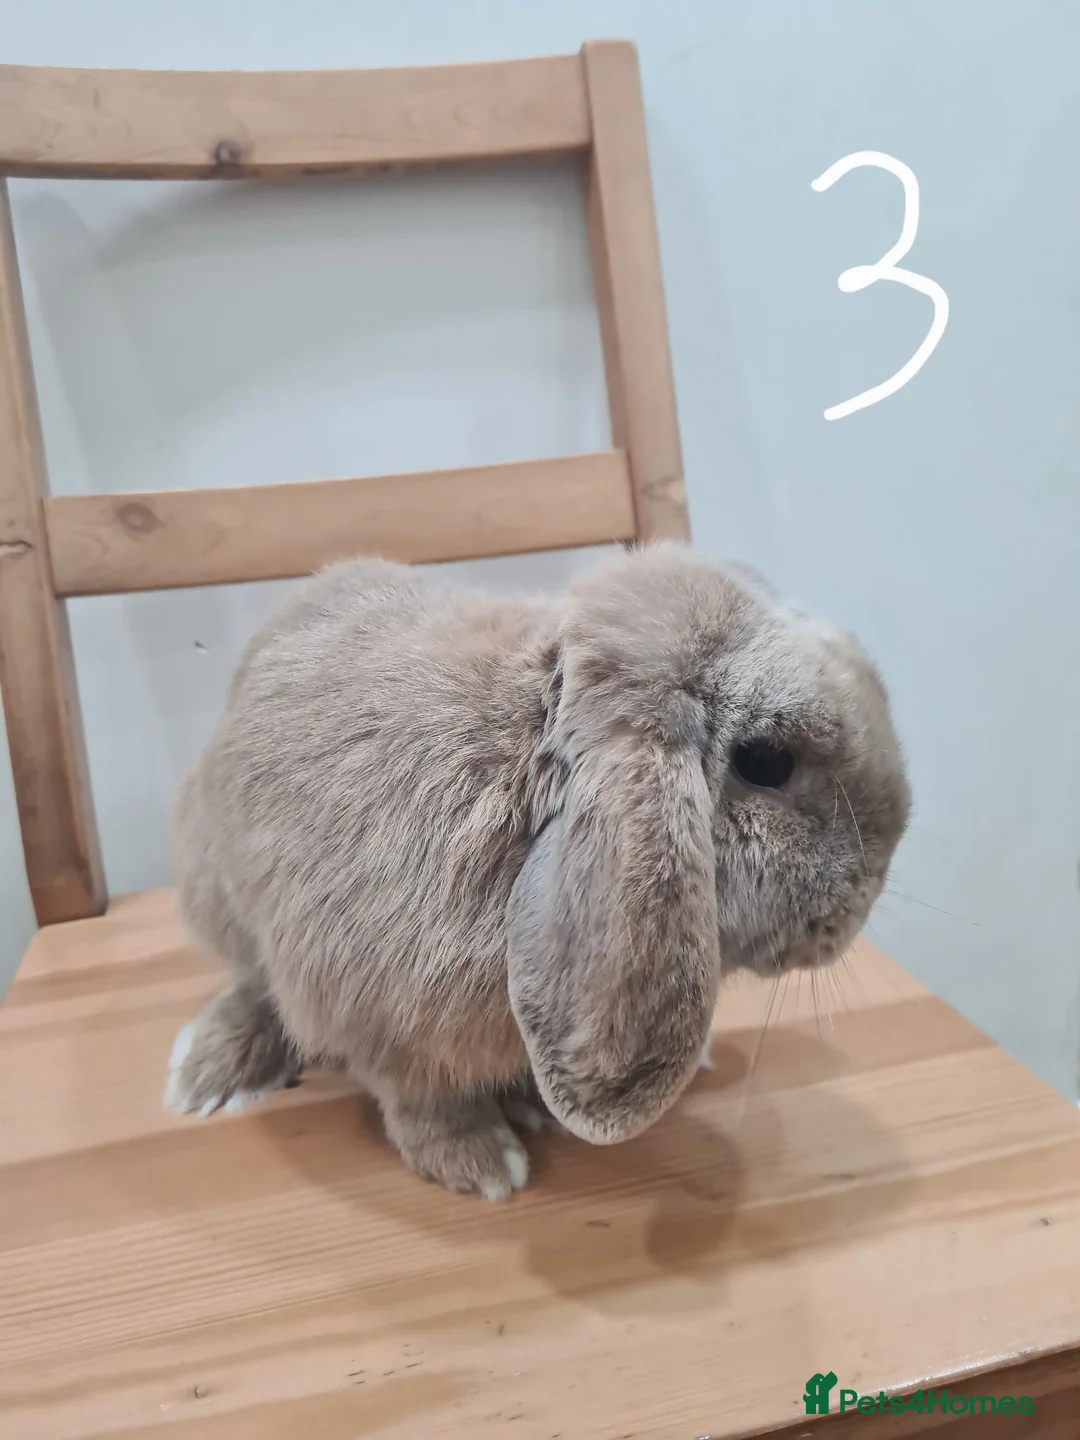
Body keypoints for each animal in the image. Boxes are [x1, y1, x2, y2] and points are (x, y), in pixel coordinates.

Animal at [166, 542, 910, 1199]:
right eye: (766, 763)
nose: (862, 903)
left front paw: (535, 1105)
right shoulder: (373, 1016)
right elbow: (421, 1100)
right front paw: (479, 1161)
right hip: (218, 892)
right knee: (252, 983)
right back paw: (209, 1076)